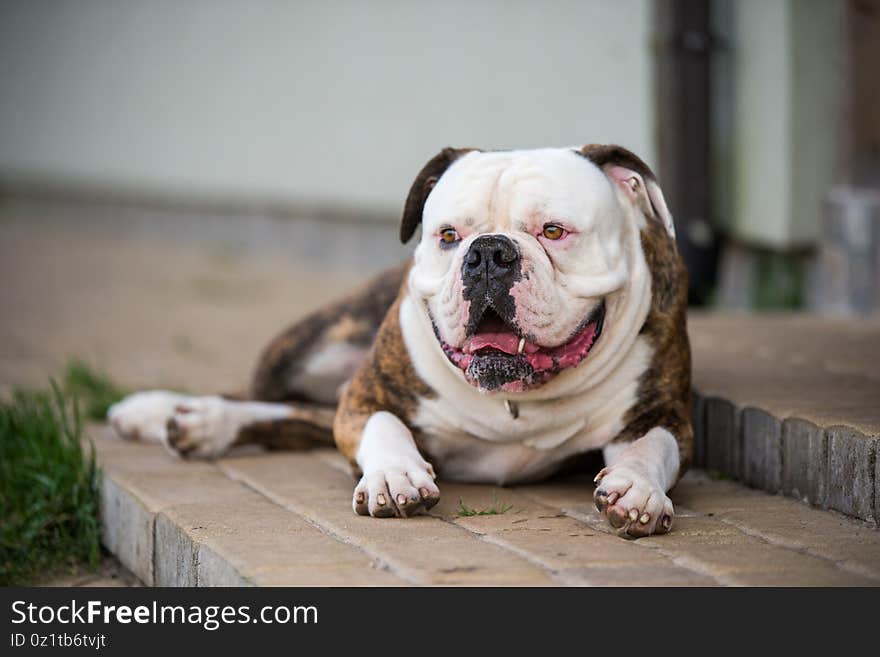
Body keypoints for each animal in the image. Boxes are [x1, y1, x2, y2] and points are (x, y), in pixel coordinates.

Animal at [108, 144, 688, 540]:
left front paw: (637, 488)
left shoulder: (663, 412)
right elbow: (384, 426)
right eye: (448, 236)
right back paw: (170, 413)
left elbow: (654, 447)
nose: (488, 253)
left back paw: (194, 423)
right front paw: (392, 476)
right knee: (266, 396)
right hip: (302, 351)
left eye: (553, 231)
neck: (514, 403)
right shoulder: (364, 395)